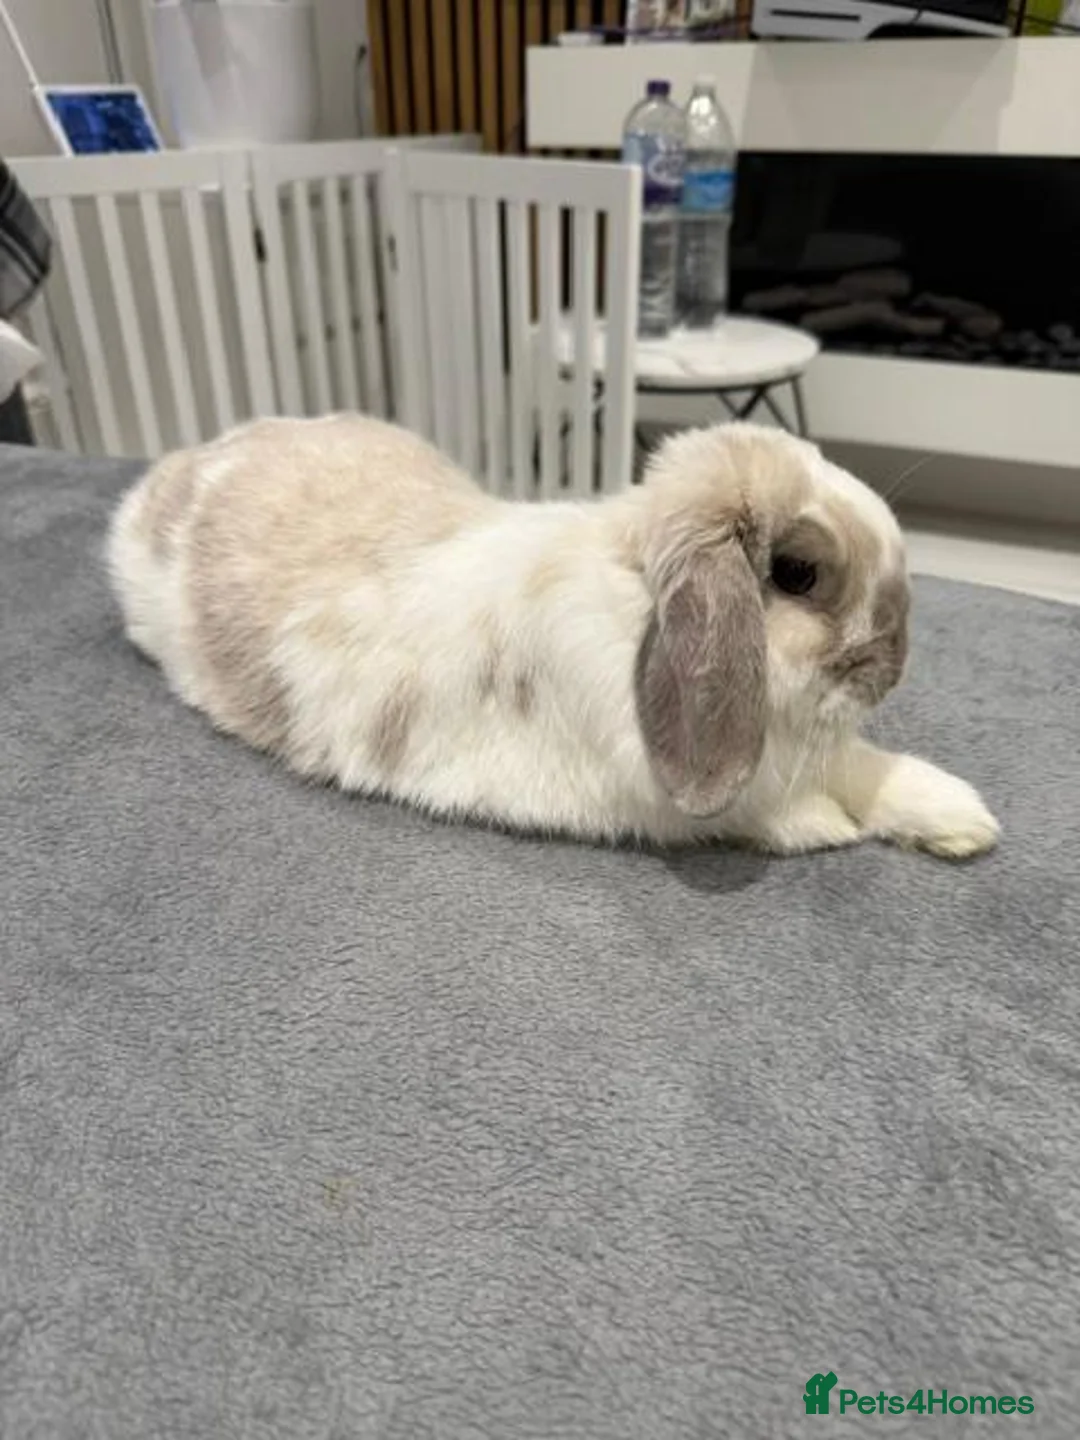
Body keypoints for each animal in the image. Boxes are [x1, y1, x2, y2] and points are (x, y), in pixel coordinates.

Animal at [107, 412, 999, 858]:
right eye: (798, 573)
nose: (894, 665)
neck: (634, 597)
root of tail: (185, 464)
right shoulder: (717, 791)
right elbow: (825, 788)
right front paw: (907, 819)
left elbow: (863, 768)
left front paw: (963, 820)